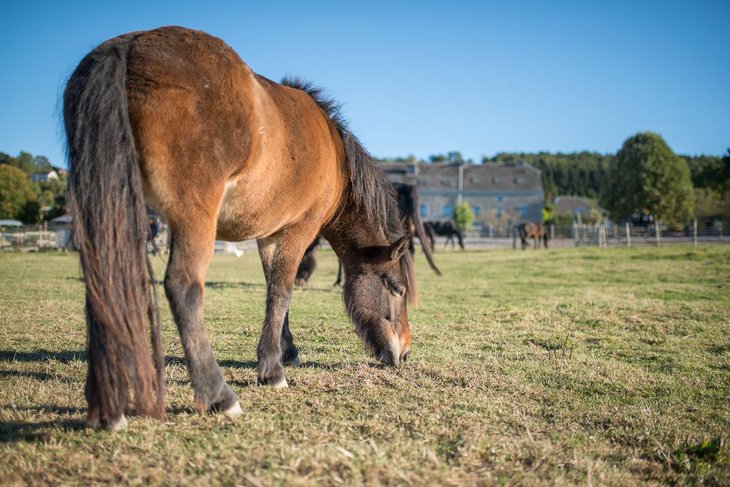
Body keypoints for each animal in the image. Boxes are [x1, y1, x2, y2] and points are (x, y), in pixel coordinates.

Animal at [64, 26, 417, 430]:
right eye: (397, 288)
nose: (405, 353)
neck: (336, 159)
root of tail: (128, 46)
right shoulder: (297, 230)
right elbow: (282, 290)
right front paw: (272, 370)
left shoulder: (269, 235)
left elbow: (274, 290)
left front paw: (286, 351)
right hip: (192, 219)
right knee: (183, 287)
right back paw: (219, 395)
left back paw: (109, 410)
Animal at [295, 182, 440, 286]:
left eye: (301, 263)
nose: (298, 281)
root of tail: (408, 187)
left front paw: (339, 282)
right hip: (407, 224)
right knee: (410, 249)